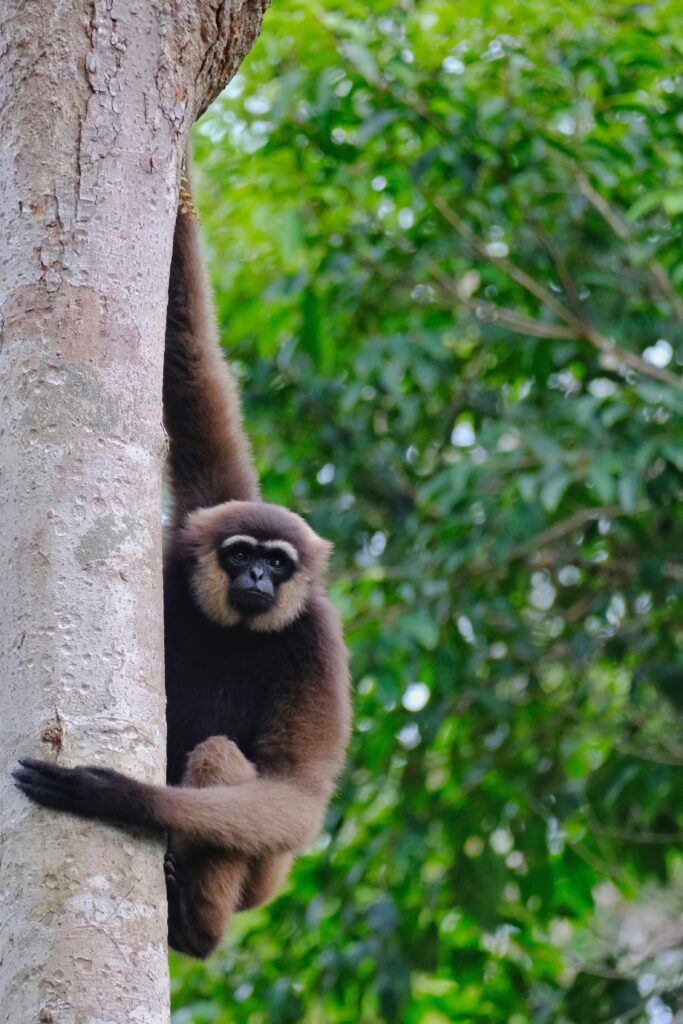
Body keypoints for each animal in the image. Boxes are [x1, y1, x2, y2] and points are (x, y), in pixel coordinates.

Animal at [13, 188, 351, 960]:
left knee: (223, 759)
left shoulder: (318, 638)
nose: (258, 581)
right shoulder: (192, 532)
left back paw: (195, 927)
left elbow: (296, 794)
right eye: (240, 554)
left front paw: (116, 795)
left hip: (264, 880)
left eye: (277, 562)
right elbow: (191, 363)